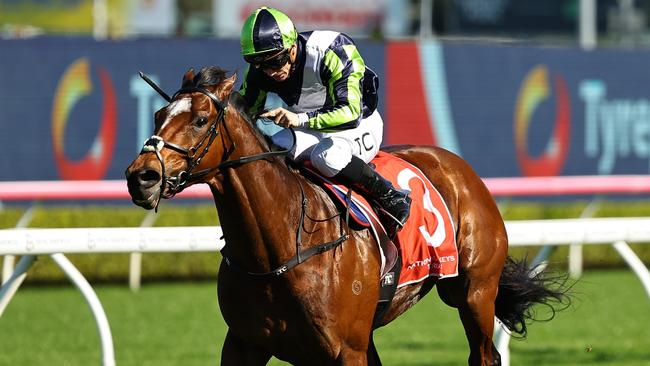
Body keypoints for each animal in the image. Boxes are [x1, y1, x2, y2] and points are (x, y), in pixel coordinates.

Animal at [124, 67, 564, 364]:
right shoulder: (244, 344)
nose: (141, 176)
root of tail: (460, 167)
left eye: (200, 120)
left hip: (474, 293)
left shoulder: (343, 350)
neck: (278, 249)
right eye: (158, 115)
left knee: (484, 353)